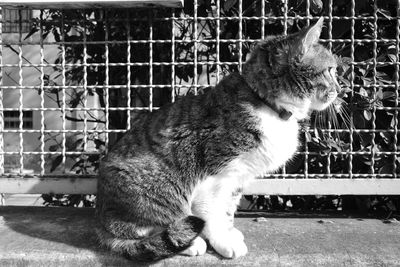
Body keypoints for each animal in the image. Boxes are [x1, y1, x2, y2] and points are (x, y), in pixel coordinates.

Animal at [94, 17, 340, 262]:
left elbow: (227, 211)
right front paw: (223, 241)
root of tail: (101, 221)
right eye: (330, 70)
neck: (266, 103)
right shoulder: (217, 175)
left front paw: (229, 232)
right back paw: (190, 243)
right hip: (163, 187)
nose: (340, 89)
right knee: (142, 228)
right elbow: (212, 213)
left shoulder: (239, 176)